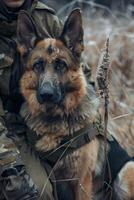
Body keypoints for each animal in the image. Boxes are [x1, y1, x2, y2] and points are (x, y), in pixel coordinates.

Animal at [17, 8, 134, 199]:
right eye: (38, 65)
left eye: (61, 65)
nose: (46, 95)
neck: (55, 119)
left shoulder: (82, 182)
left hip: (127, 170)